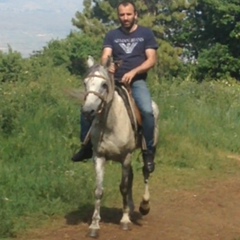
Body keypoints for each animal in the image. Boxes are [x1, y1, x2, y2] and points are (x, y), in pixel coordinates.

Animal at [75, 57, 158, 237]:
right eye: (85, 83)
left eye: (104, 85)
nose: (88, 111)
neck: (110, 123)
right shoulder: (99, 157)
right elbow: (99, 190)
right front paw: (94, 226)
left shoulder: (125, 157)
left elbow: (124, 188)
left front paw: (125, 221)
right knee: (132, 175)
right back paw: (131, 207)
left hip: (146, 147)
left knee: (146, 171)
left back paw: (144, 205)